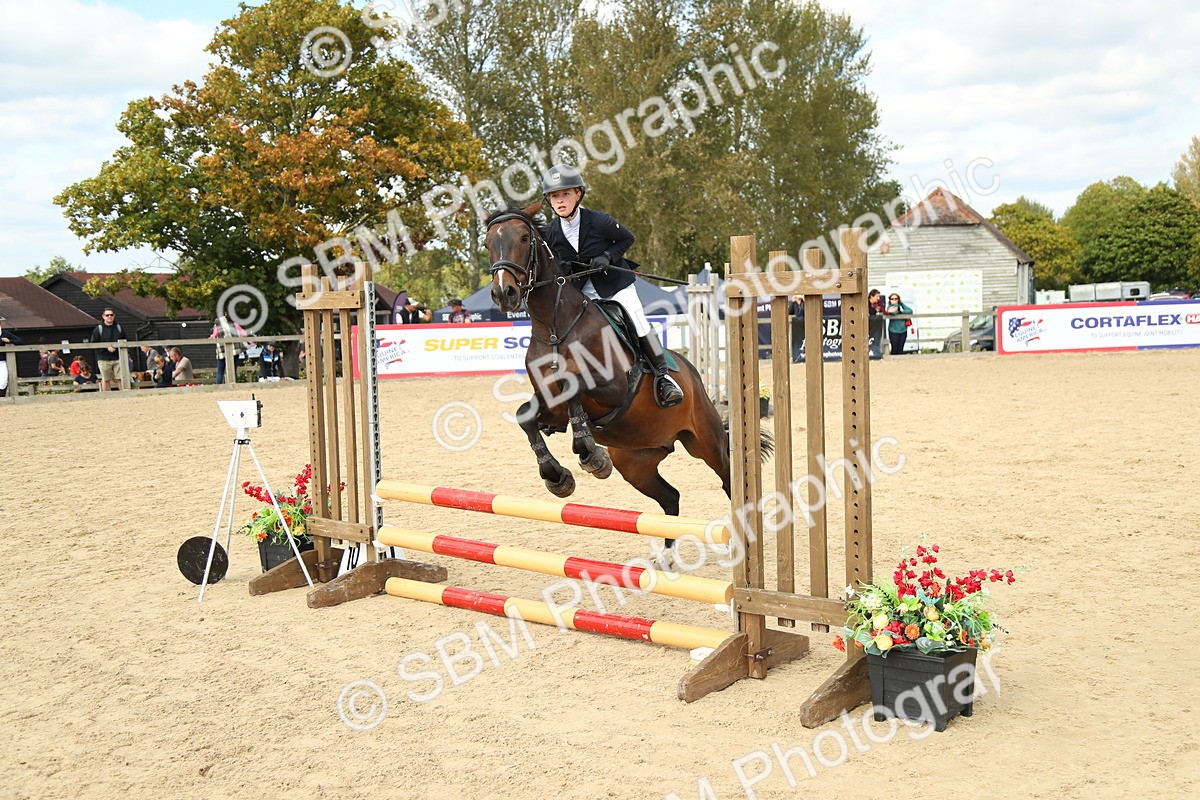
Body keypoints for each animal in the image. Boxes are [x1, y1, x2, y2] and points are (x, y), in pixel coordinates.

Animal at [484, 202, 769, 564]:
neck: (555, 325)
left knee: (730, 483)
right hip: (636, 460)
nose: (503, 293)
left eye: (524, 238)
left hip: (706, 442)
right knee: (670, 497)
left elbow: (575, 383)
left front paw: (591, 455)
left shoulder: (615, 390)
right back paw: (666, 557)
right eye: (488, 243)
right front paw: (558, 477)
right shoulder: (551, 407)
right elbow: (526, 416)